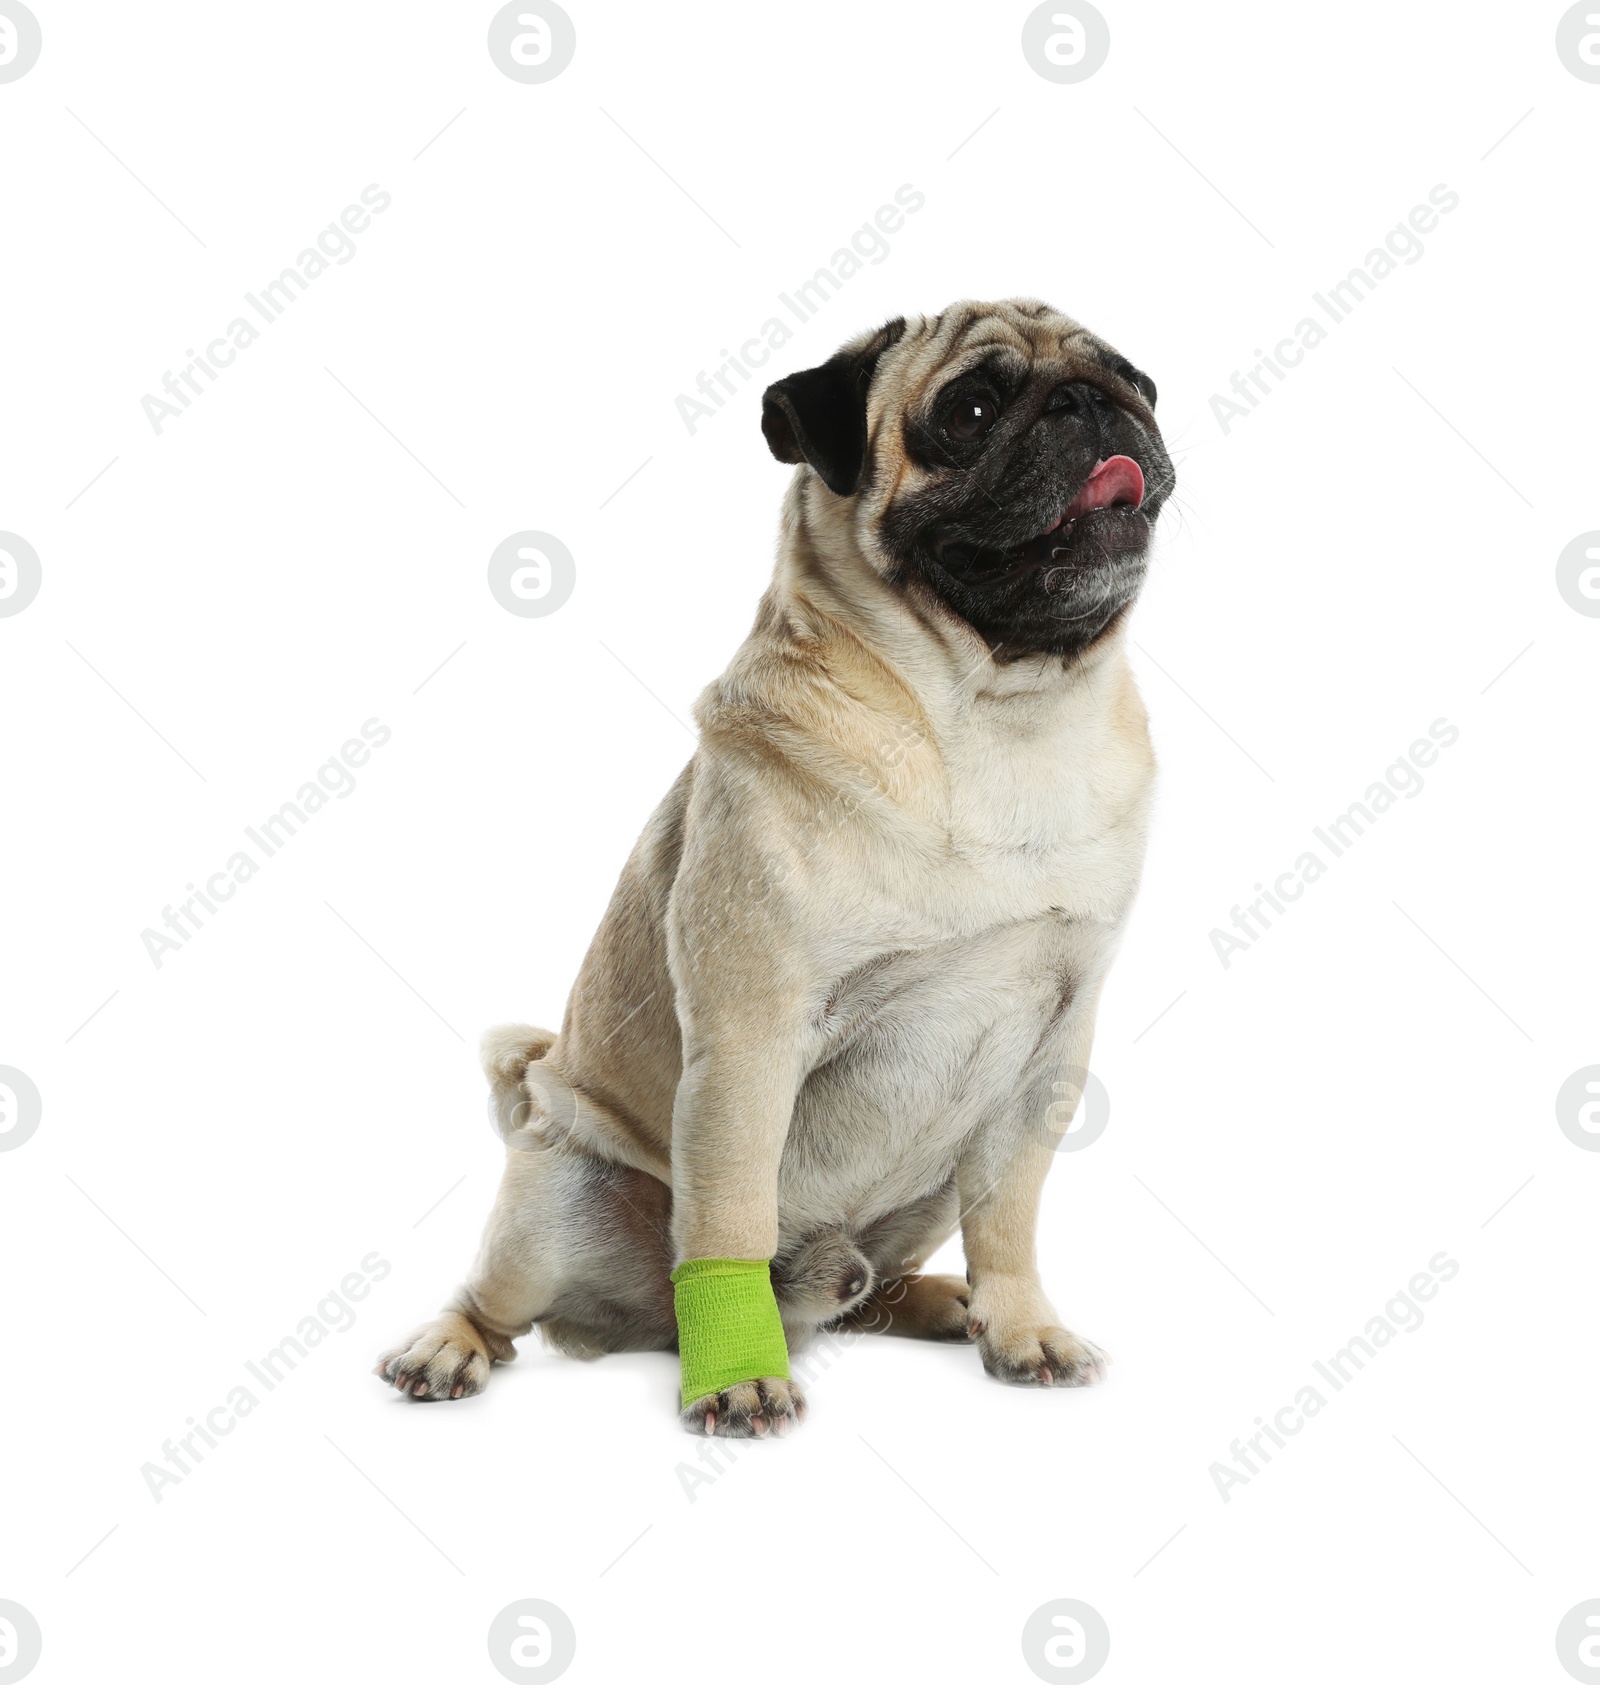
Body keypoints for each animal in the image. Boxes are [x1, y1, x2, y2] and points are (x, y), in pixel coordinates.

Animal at [375, 299, 1178, 1435]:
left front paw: (1019, 1324)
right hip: (554, 1204)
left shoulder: (1048, 1056)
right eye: (970, 410)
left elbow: (1010, 1211)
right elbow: (728, 1224)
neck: (999, 714)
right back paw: (449, 1348)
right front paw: (738, 1377)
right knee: (502, 1299)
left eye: (1137, 383)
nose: (1090, 402)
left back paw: (940, 1300)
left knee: (877, 1281)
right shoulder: (751, 1036)